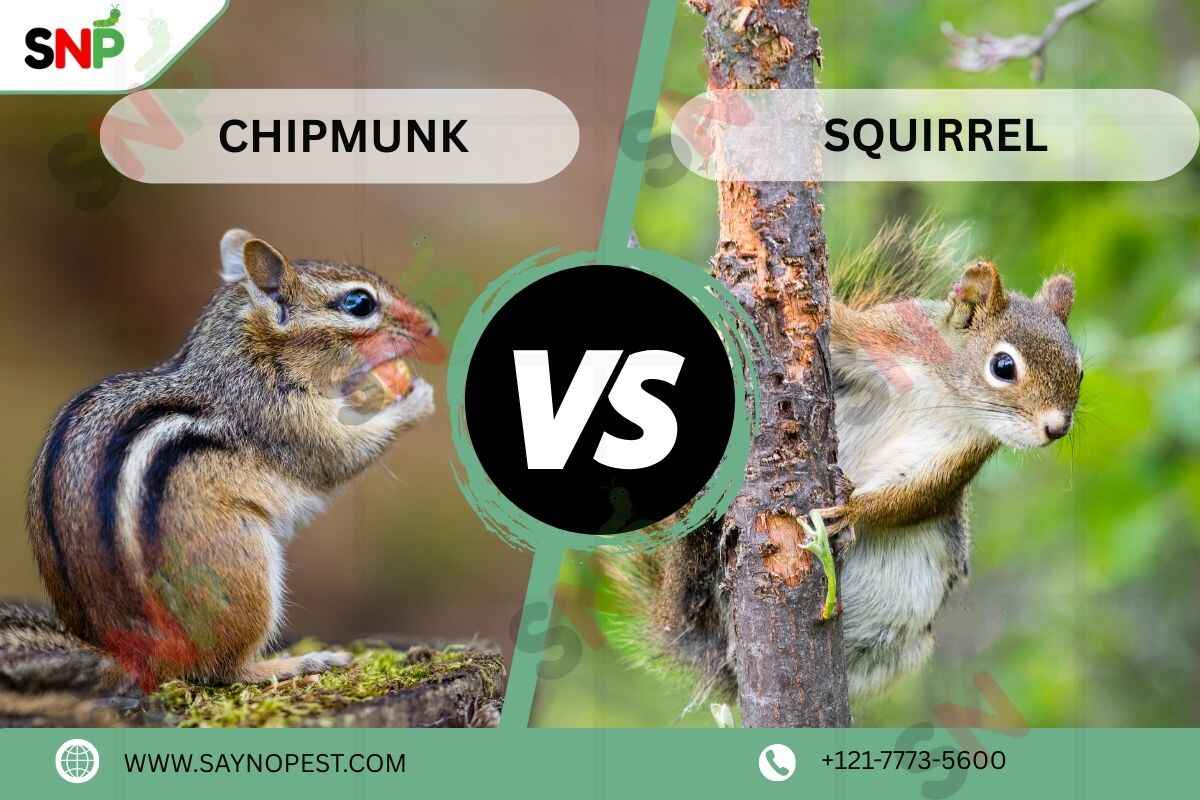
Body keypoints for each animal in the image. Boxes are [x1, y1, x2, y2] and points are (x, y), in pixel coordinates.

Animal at [3, 229, 440, 711]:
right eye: (359, 303)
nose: (429, 326)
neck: (251, 355)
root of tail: (128, 654)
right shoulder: (281, 420)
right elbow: (340, 456)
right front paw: (415, 399)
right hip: (242, 568)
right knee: (223, 670)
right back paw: (297, 663)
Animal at [606, 220, 1082, 711]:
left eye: (1079, 370)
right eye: (1003, 366)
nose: (1056, 428)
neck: (943, 388)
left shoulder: (958, 455)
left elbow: (914, 497)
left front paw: (849, 512)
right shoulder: (883, 337)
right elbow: (838, 327)